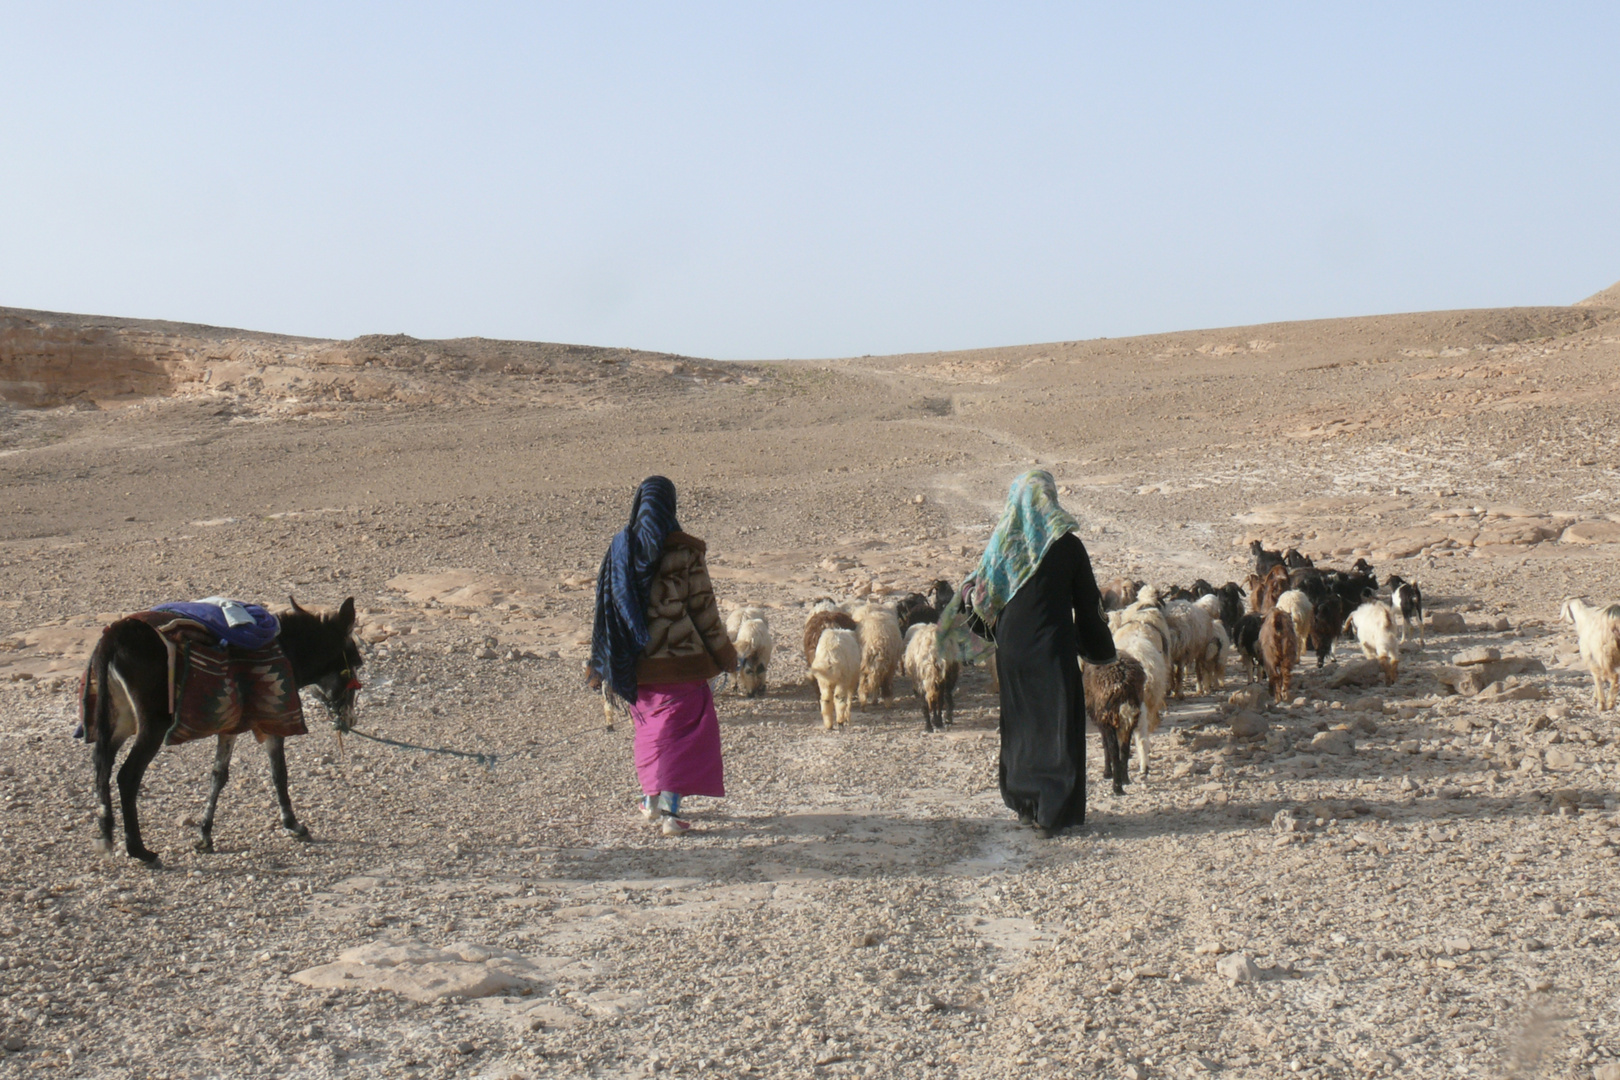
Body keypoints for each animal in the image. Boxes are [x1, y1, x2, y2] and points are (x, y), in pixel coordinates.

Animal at [1082, 654, 1146, 799]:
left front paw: (1107, 773)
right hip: (1129, 720)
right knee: (1124, 749)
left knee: (1114, 750)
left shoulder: (1102, 721)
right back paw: (1125, 779)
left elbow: (1106, 746)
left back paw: (1117, 787)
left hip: (1109, 718)